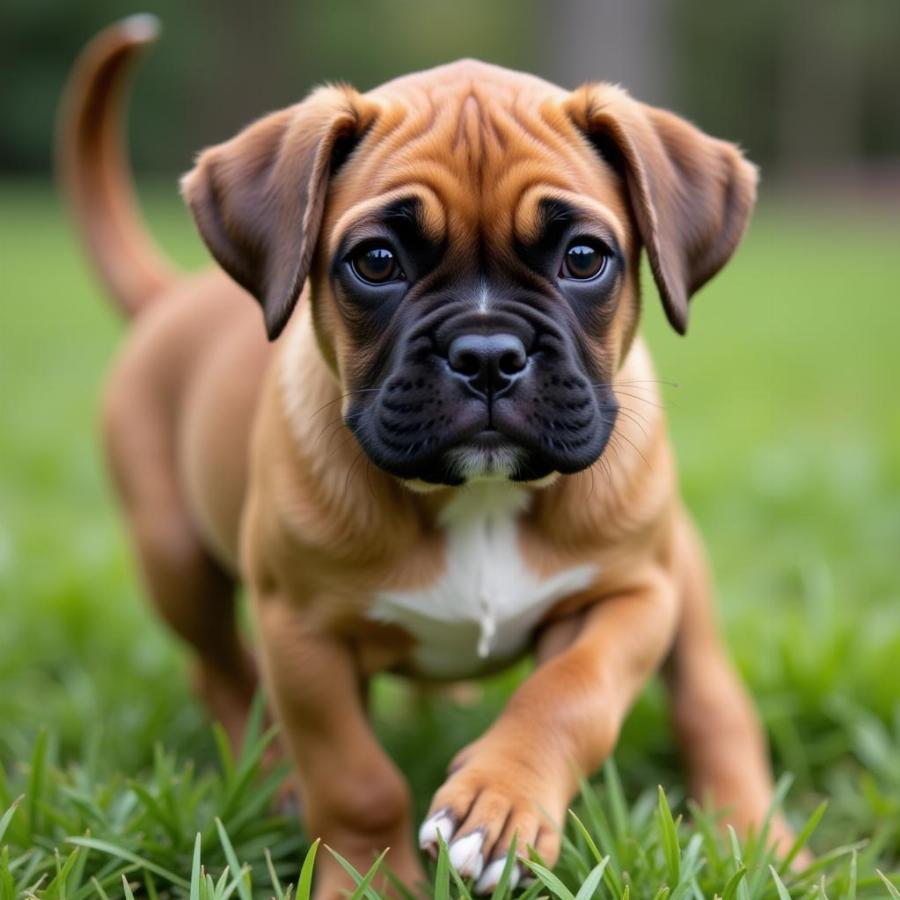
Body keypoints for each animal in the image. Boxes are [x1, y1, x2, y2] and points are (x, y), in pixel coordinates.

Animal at [59, 15, 796, 900]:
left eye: (585, 258)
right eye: (376, 262)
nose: (486, 354)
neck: (477, 499)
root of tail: (172, 295)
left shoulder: (632, 597)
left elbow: (568, 694)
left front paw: (500, 805)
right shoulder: (301, 632)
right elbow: (354, 776)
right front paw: (369, 879)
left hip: (681, 571)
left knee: (713, 701)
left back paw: (756, 834)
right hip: (174, 560)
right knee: (221, 671)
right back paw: (270, 777)